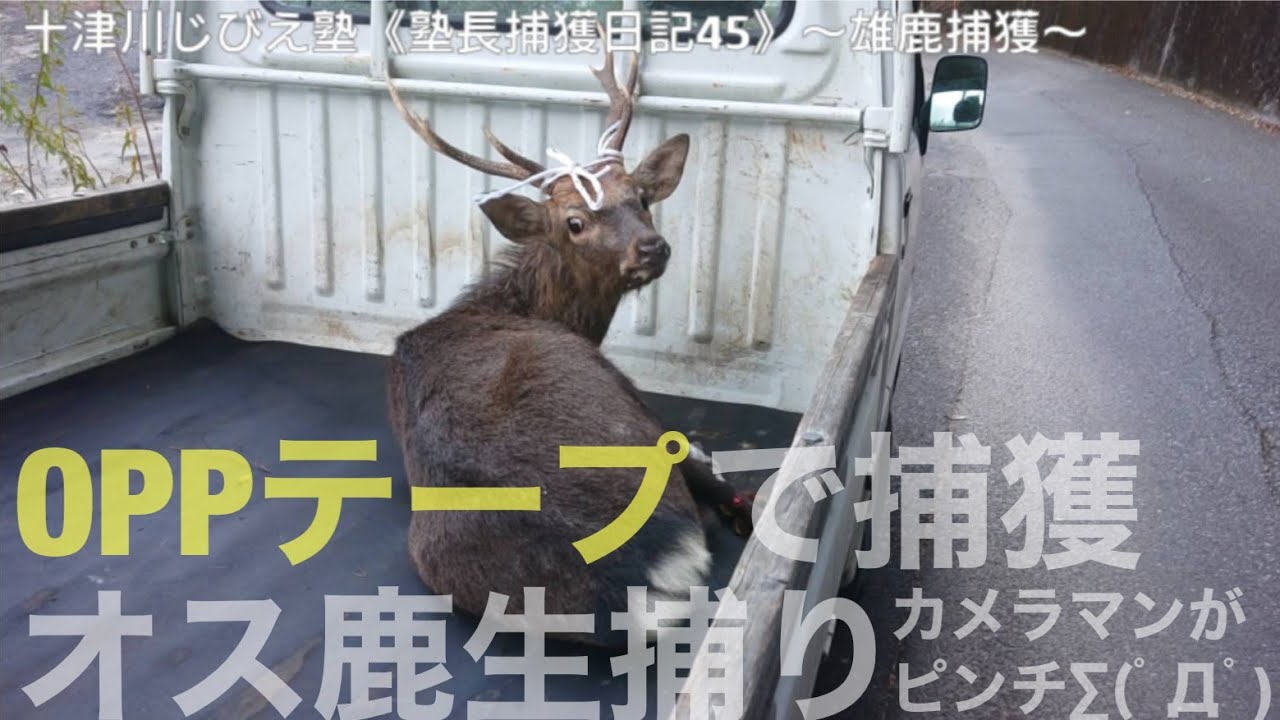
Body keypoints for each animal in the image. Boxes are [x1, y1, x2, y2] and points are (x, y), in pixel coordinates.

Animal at [383, 49, 755, 645]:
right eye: (574, 221)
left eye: (641, 197)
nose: (651, 247)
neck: (514, 306)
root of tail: (628, 584)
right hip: (632, 420)